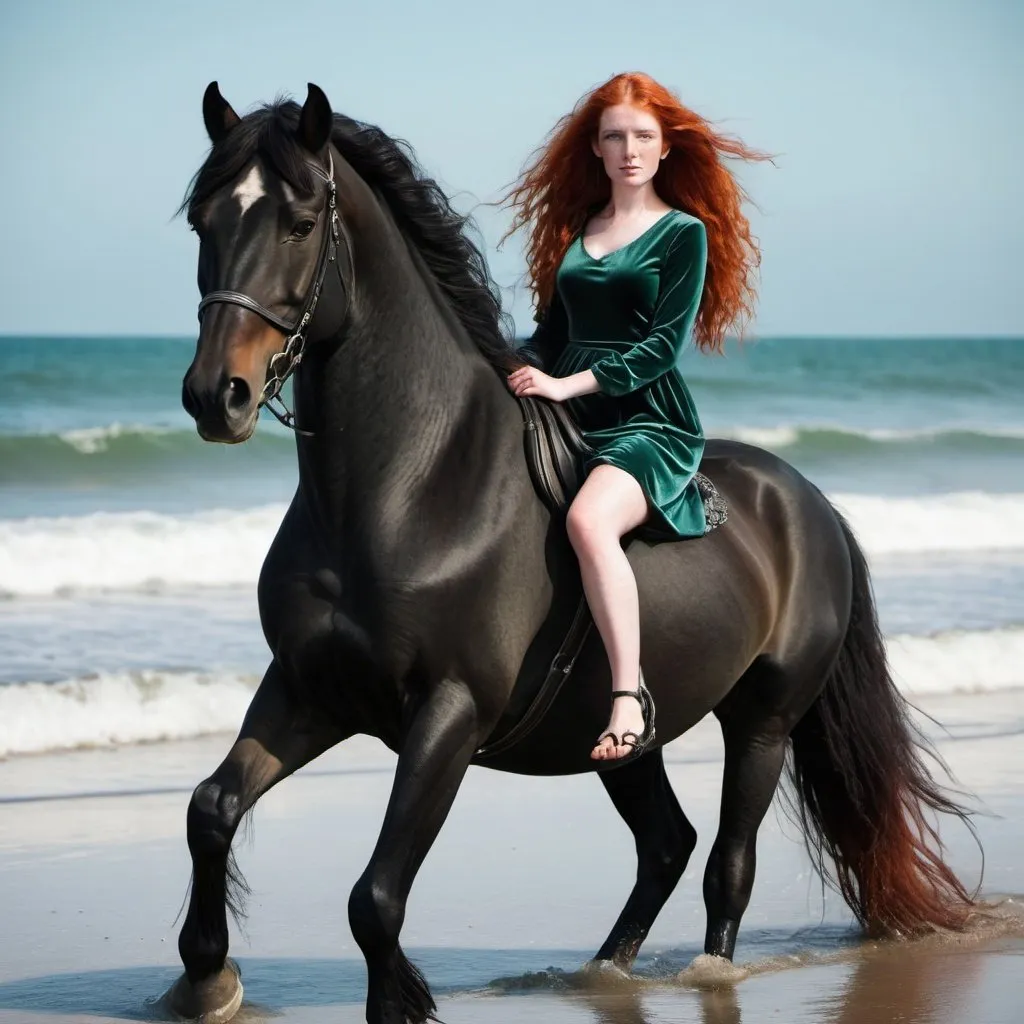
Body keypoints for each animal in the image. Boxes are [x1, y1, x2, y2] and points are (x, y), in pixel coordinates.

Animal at [172, 81, 978, 1024]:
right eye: (203, 222)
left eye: (300, 224)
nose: (215, 396)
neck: (405, 486)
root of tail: (810, 503)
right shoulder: (309, 689)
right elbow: (211, 808)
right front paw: (207, 977)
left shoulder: (447, 714)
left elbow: (374, 897)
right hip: (626, 742)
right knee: (667, 843)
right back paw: (603, 973)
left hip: (764, 722)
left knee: (727, 865)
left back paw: (702, 971)